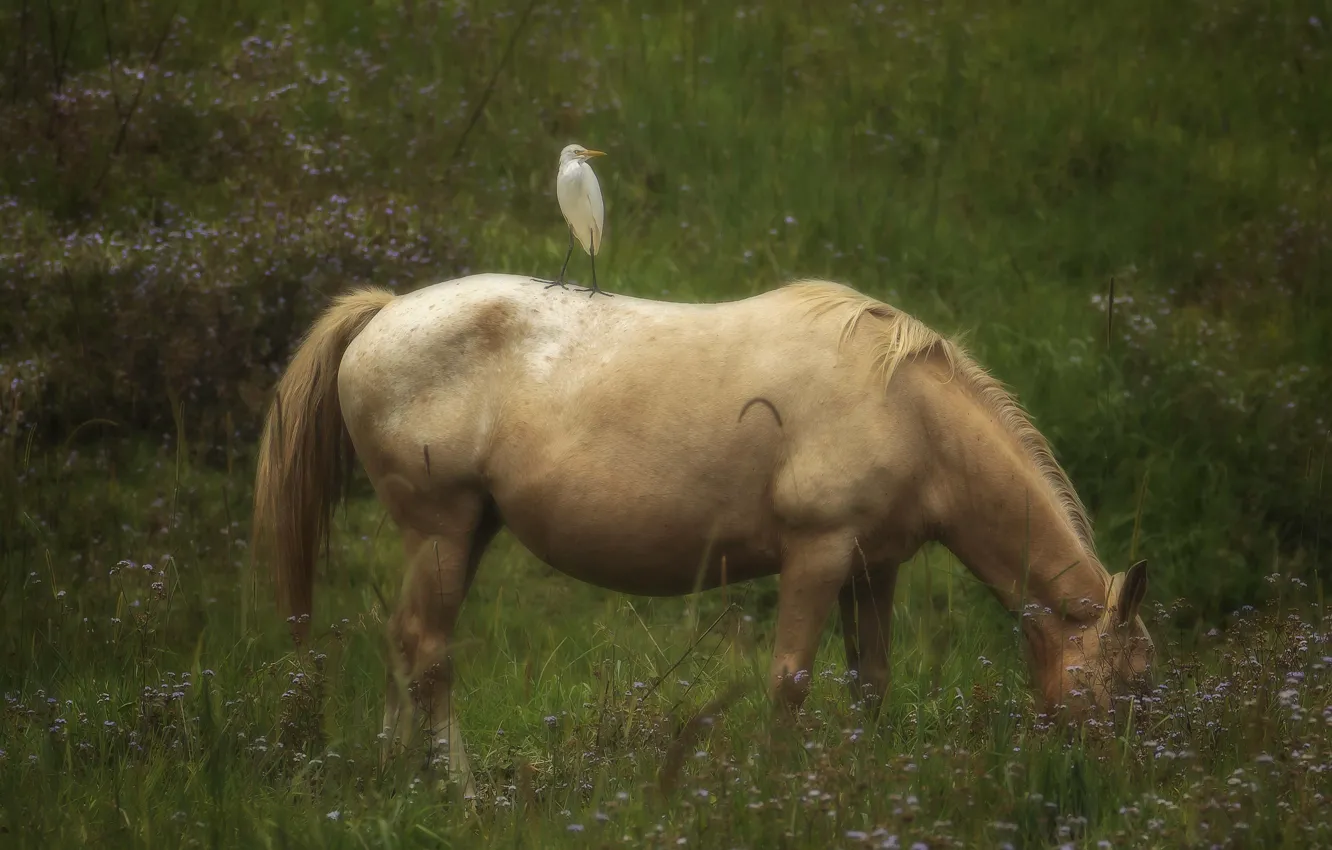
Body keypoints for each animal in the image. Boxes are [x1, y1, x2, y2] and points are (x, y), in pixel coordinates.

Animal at [250, 273, 1155, 796]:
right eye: (1135, 684)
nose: (1119, 787)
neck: (905, 407)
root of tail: (384, 315)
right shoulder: (818, 554)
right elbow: (791, 680)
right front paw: (779, 795)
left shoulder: (874, 569)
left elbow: (871, 683)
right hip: (442, 531)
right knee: (427, 649)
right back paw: (460, 791)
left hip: (465, 533)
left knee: (404, 647)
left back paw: (400, 774)